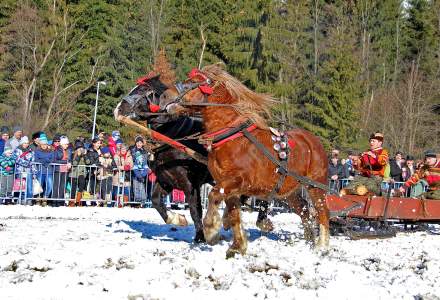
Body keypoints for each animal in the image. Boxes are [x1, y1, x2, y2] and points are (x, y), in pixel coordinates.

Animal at [160, 64, 328, 256]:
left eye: (192, 83)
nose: (164, 96)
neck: (230, 137)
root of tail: (314, 140)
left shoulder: (239, 181)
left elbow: (213, 195)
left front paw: (211, 228)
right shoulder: (228, 186)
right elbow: (233, 215)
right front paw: (237, 245)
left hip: (315, 185)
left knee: (322, 212)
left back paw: (322, 245)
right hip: (288, 192)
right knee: (305, 211)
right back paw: (309, 239)